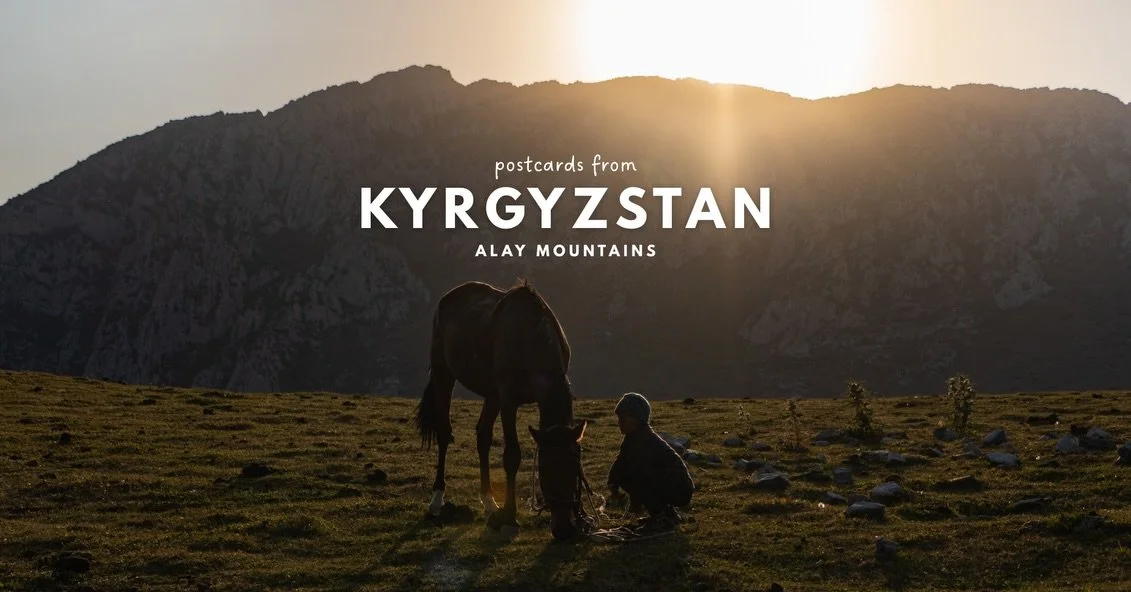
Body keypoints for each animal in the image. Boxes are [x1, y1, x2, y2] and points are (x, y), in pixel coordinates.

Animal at [413, 278, 591, 540]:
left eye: (574, 472)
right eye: (544, 472)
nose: (564, 530)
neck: (530, 336)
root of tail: (449, 297)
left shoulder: (501, 396)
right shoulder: (508, 401)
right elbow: (512, 456)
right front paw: (510, 517)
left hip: (491, 394)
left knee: (483, 436)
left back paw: (489, 501)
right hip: (444, 373)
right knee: (445, 433)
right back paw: (437, 499)